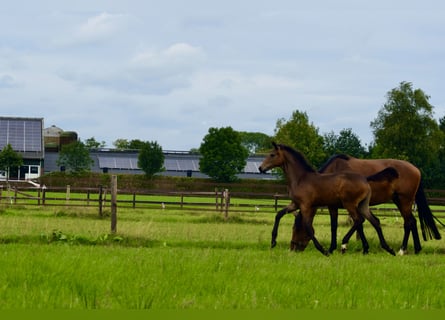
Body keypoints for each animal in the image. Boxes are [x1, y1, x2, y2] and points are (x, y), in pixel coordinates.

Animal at [258, 142, 394, 255]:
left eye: (272, 154)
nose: (260, 168)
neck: (300, 179)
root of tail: (365, 179)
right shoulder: (295, 204)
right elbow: (279, 214)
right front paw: (273, 241)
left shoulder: (306, 205)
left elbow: (308, 227)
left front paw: (324, 250)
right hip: (363, 205)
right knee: (373, 221)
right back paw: (387, 249)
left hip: (349, 204)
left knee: (359, 220)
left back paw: (345, 244)